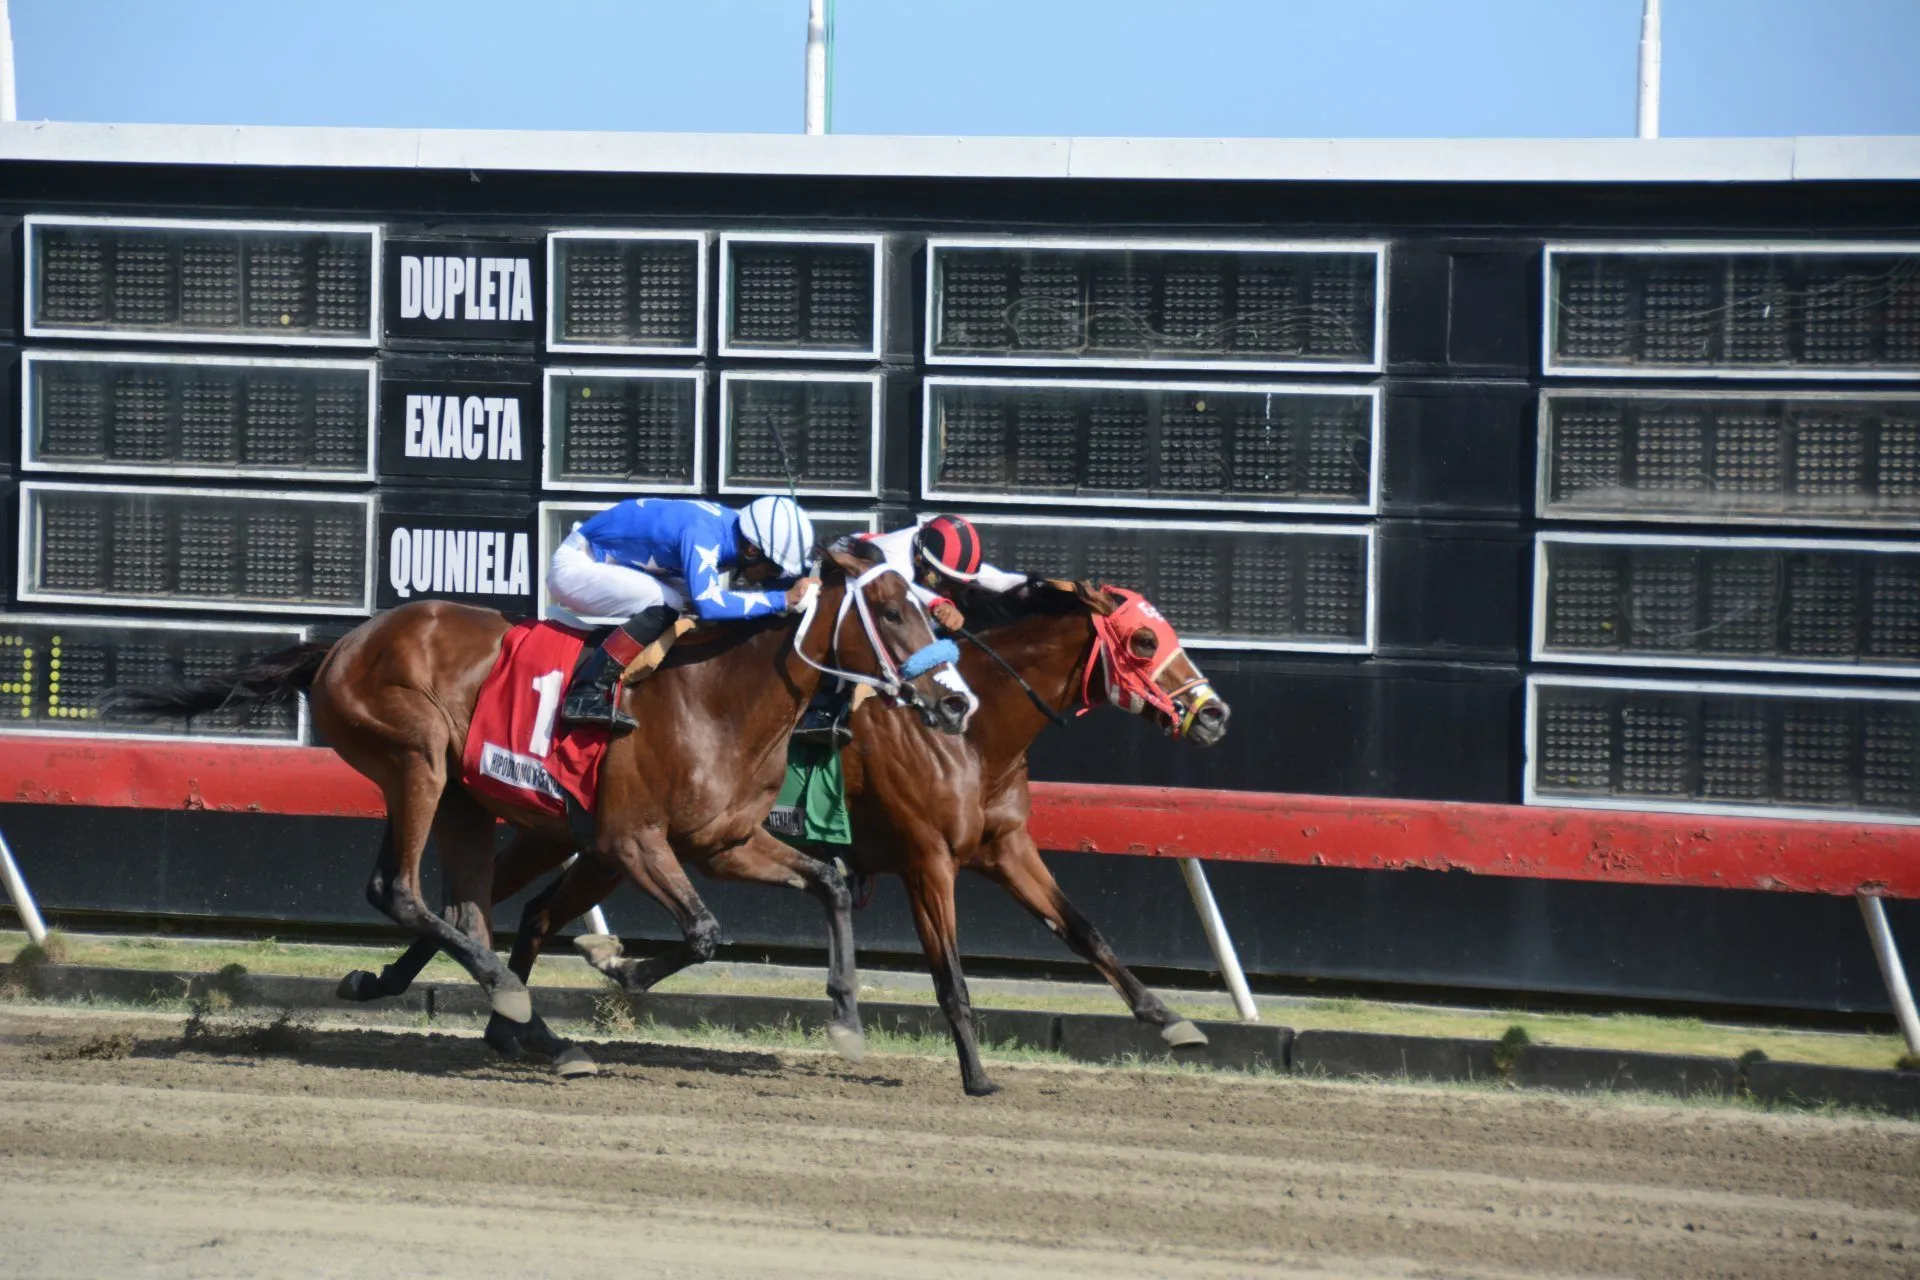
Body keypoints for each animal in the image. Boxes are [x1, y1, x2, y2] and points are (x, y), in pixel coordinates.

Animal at [110, 541, 967, 1074]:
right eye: (893, 613)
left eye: (928, 608)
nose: (956, 702)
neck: (720, 696)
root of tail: (343, 644)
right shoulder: (629, 841)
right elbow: (702, 931)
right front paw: (617, 963)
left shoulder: (721, 842)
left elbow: (828, 883)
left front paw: (847, 1020)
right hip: (417, 760)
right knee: (402, 890)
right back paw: (509, 1000)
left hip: (468, 801)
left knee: (466, 906)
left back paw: (529, 1030)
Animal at [360, 579, 1228, 1090]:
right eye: (1144, 642)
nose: (1215, 713)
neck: (973, 730)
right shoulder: (927, 861)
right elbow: (950, 976)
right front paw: (977, 1074)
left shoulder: (1005, 849)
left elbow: (1085, 931)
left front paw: (1172, 1020)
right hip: (573, 835)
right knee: (492, 902)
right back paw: (427, 989)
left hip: (592, 846)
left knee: (526, 911)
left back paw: (481, 1011)